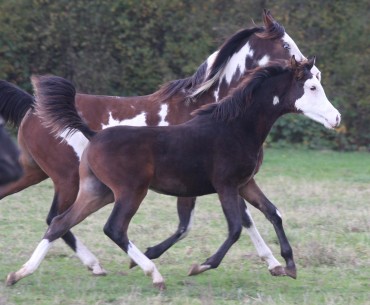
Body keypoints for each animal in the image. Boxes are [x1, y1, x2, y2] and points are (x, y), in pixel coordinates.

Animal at [0, 10, 320, 274]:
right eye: (286, 46)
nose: (309, 66)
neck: (206, 104)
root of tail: (32, 106)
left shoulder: (224, 180)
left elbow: (246, 217)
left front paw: (274, 262)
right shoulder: (211, 180)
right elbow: (224, 221)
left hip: (34, 171)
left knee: (50, 216)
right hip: (68, 179)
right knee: (58, 218)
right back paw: (95, 264)